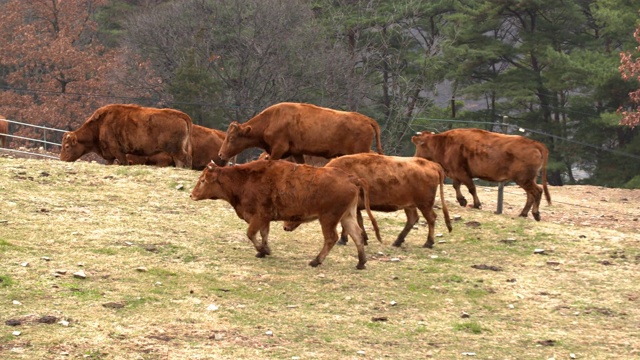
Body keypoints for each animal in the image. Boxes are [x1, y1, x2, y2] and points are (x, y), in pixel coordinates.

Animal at [60, 102, 192, 167]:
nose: (62, 160)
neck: (100, 125)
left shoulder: (118, 152)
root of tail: (182, 115)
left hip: (176, 150)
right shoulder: (110, 156)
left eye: (67, 146)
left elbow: (124, 163)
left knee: (184, 160)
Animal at [218, 101, 382, 163]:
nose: (220, 154)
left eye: (231, 138)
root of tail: (366, 119)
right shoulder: (296, 152)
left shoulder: (278, 149)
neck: (271, 119)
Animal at [282, 153, 452, 249]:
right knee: (413, 219)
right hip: (409, 205)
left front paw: (345, 239)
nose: (285, 227)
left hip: (424, 204)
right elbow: (358, 221)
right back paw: (398, 241)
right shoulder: (355, 208)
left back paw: (428, 243)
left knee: (431, 219)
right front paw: (363, 238)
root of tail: (432, 164)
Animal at [412, 128, 552, 221]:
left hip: (523, 179)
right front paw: (462, 200)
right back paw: (523, 213)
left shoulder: (461, 172)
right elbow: (456, 186)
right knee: (530, 195)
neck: (444, 144)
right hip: (528, 179)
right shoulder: (456, 172)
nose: (415, 157)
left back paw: (536, 214)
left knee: (537, 192)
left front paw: (476, 204)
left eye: (419, 146)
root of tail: (533, 143)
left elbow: (471, 188)